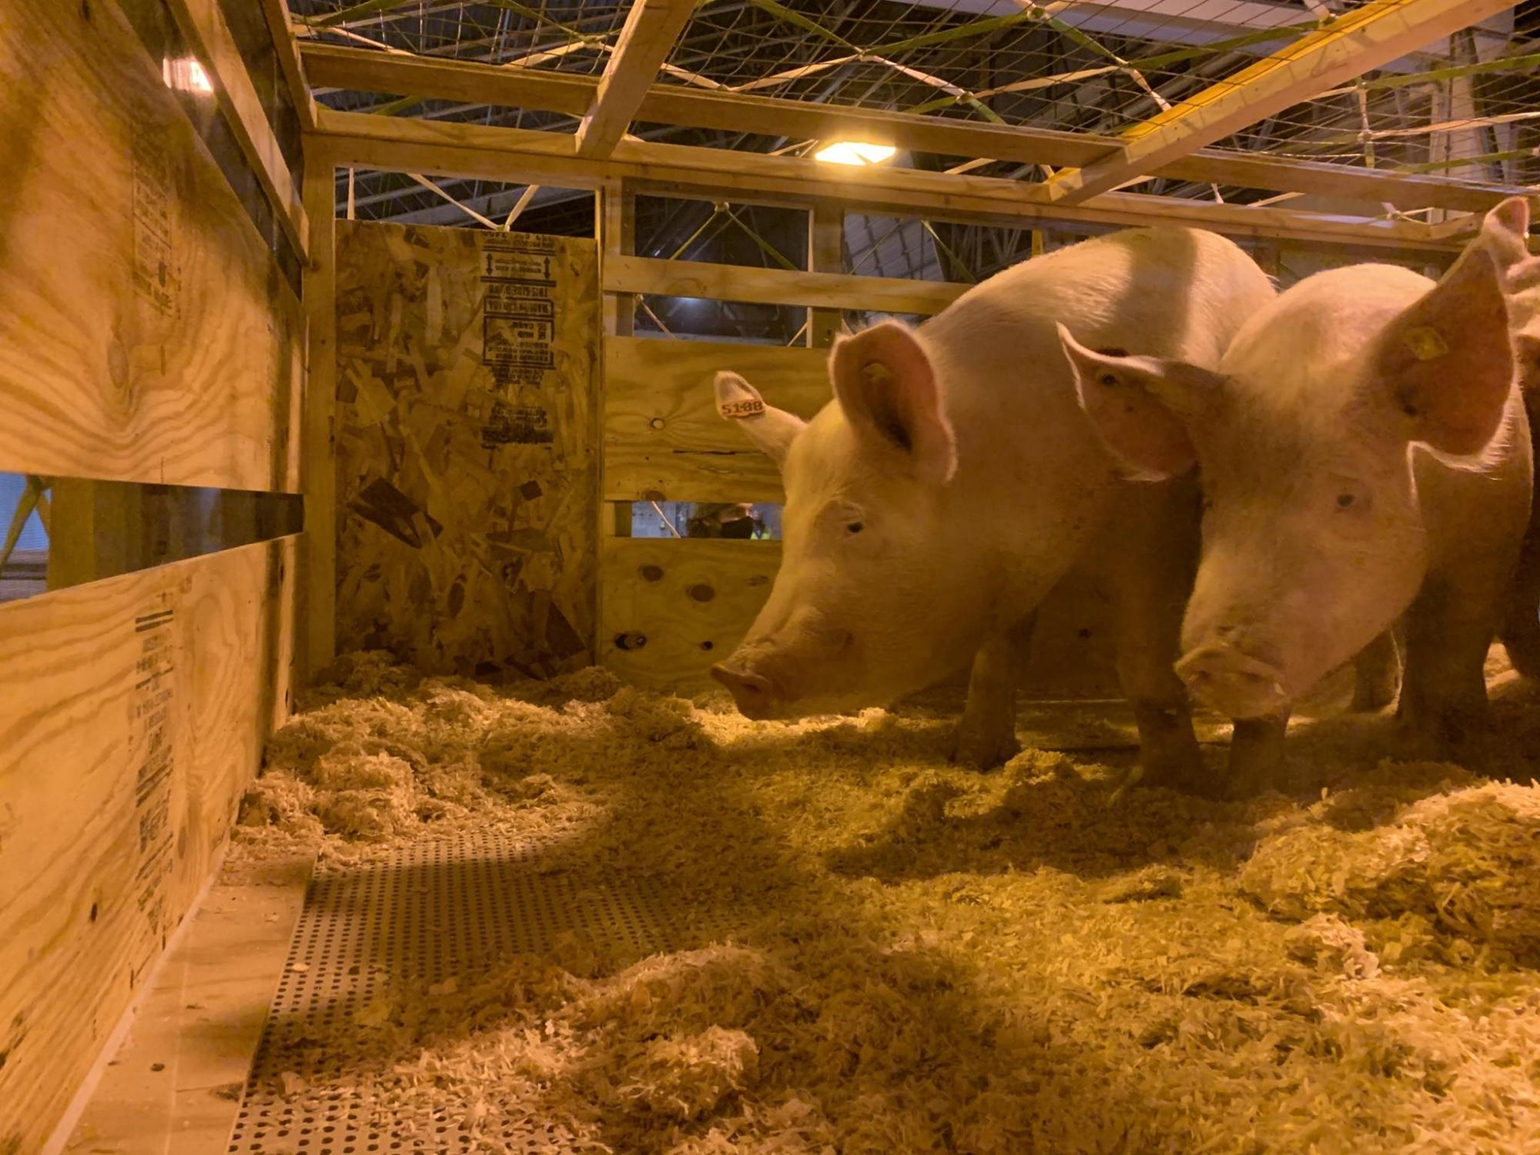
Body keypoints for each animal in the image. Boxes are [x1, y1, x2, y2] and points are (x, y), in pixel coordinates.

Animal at [708, 225, 1277, 788]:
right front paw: (972, 760)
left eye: (854, 523)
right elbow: (997, 659)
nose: (733, 673)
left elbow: (1144, 662)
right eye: (789, 524)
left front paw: (1161, 788)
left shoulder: (1158, 527)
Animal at [1057, 198, 1535, 789]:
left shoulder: (1489, 544)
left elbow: (1451, 654)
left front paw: (1432, 756)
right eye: (1210, 498)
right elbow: (1266, 714)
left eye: (1348, 497)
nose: (1215, 654)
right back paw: (1369, 705)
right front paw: (1248, 793)